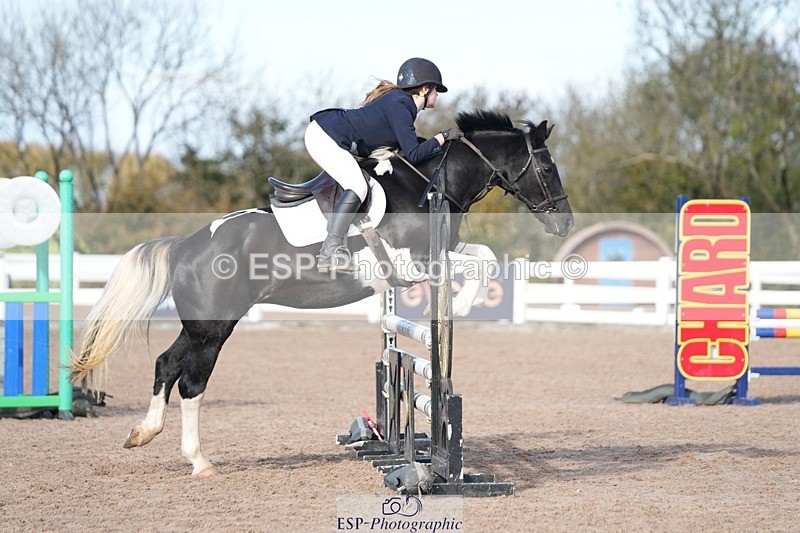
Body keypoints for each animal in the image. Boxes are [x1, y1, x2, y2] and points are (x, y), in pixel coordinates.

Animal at [71, 109, 574, 476]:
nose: (566, 222)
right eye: (549, 166)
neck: (430, 183)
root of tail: (185, 244)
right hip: (214, 327)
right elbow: (479, 264)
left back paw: (143, 432)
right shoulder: (415, 265)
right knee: (192, 382)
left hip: (200, 325)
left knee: (166, 364)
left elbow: (484, 254)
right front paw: (466, 303)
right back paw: (199, 462)